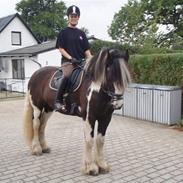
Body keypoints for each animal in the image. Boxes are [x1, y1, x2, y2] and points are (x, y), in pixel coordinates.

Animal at [23, 47, 132, 176]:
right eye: (110, 74)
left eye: (125, 77)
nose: (118, 104)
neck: (95, 88)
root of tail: (35, 74)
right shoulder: (89, 117)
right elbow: (89, 140)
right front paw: (90, 167)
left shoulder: (105, 117)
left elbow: (100, 141)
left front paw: (102, 165)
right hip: (37, 107)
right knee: (36, 125)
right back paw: (36, 149)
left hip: (49, 108)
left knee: (42, 125)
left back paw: (44, 147)